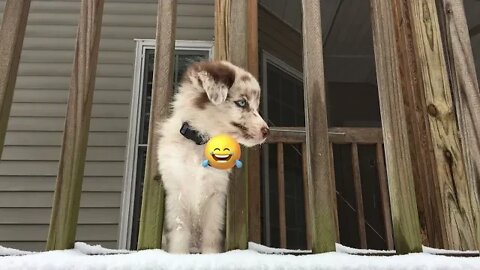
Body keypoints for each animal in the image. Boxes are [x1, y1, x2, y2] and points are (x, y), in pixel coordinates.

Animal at [158, 59, 270, 253]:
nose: (267, 132)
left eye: (256, 106)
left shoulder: (215, 197)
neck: (200, 144)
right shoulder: (177, 194)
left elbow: (211, 236)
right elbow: (180, 235)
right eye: (242, 103)